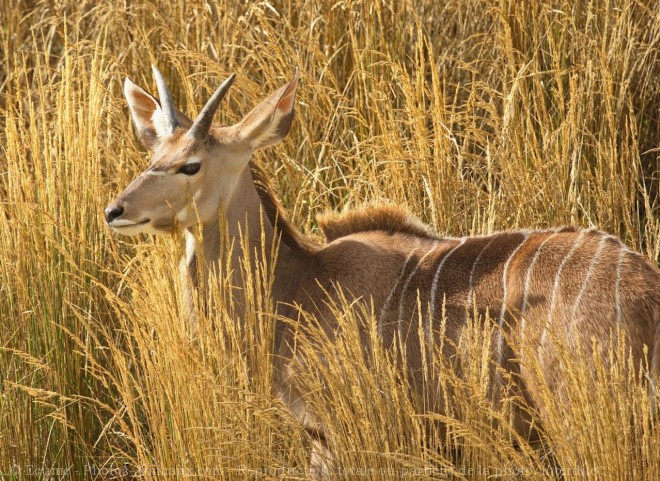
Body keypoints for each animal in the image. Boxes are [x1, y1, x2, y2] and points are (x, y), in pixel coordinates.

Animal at [105, 64, 656, 476]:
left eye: (191, 164)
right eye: (152, 153)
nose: (115, 210)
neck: (294, 286)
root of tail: (644, 289)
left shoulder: (337, 434)